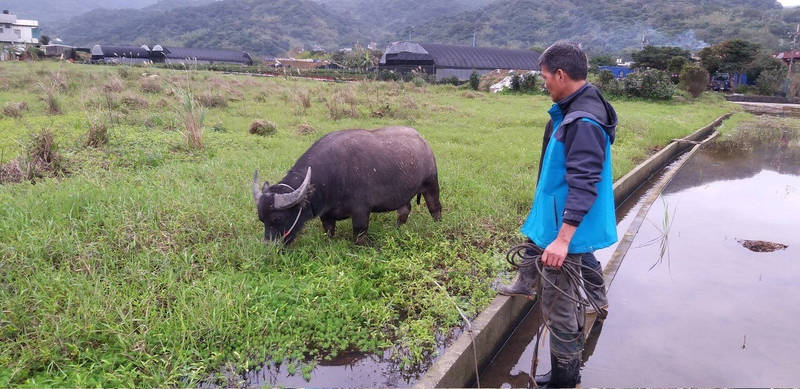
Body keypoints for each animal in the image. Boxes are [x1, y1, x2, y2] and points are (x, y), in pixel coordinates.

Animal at [253, 126, 440, 244]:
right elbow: (328, 230)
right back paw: (398, 229)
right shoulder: (326, 214)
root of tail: (423, 142)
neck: (334, 174)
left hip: (431, 183)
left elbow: (359, 232)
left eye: (277, 218)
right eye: (262, 219)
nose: (269, 246)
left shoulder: (361, 211)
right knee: (404, 210)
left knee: (435, 207)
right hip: (402, 194)